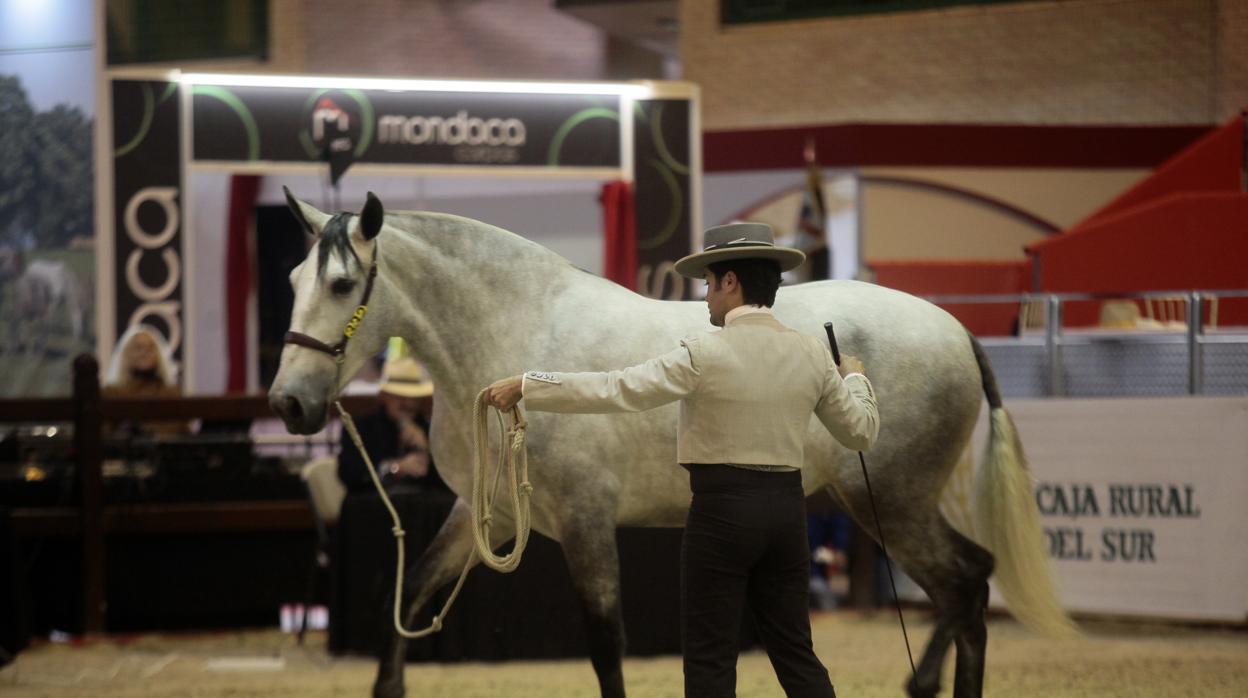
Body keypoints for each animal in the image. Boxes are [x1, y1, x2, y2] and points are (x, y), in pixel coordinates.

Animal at [273, 193, 1073, 698]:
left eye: (342, 284)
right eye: (291, 276)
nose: (289, 404)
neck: (518, 329)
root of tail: (956, 329)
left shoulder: (585, 523)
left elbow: (605, 643)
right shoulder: (481, 516)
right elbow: (407, 597)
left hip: (892, 504)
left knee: (965, 585)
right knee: (968, 585)